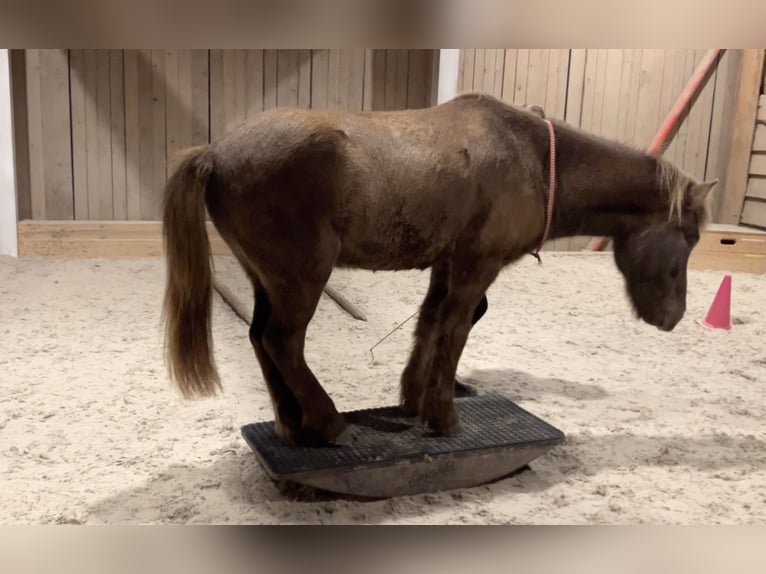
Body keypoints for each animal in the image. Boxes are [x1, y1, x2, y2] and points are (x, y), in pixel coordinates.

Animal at [160, 92, 717, 447]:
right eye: (690, 236)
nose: (673, 316)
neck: (532, 156)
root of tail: (215, 154)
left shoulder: (448, 263)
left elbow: (431, 324)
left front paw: (414, 400)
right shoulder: (478, 264)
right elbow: (456, 328)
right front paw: (444, 415)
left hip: (266, 279)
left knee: (260, 339)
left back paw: (293, 425)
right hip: (302, 279)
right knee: (282, 342)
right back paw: (329, 423)